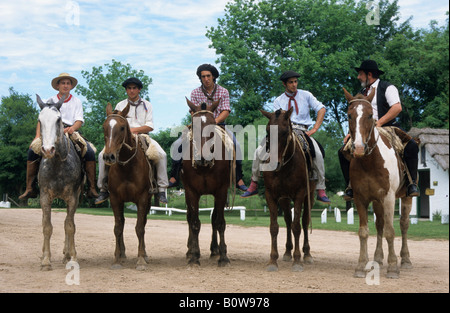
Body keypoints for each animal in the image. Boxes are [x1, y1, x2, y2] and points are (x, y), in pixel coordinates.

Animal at [36, 94, 84, 270]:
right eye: (40, 120)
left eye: (58, 120)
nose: (47, 150)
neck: (57, 164)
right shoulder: (44, 197)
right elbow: (46, 226)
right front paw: (45, 260)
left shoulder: (72, 198)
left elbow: (70, 226)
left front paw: (73, 257)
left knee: (67, 223)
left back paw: (67, 254)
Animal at [102, 102, 155, 270]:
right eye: (104, 127)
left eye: (122, 128)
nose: (109, 156)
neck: (127, 167)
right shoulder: (115, 199)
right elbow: (118, 228)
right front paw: (116, 260)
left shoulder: (143, 199)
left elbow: (140, 228)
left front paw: (141, 259)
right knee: (122, 223)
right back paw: (122, 254)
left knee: (143, 223)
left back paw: (144, 254)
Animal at [181, 97, 234, 266]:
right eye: (194, 125)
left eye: (213, 125)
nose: (203, 157)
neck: (204, 166)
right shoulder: (191, 191)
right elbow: (195, 223)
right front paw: (194, 256)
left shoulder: (221, 191)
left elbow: (219, 222)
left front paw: (223, 256)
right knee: (190, 218)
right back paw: (190, 250)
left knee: (214, 219)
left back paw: (215, 250)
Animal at [260, 107, 316, 270]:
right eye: (268, 131)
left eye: (285, 132)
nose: (274, 163)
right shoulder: (271, 195)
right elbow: (274, 227)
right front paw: (273, 260)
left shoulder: (300, 194)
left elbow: (297, 226)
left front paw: (297, 260)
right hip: (284, 199)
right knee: (287, 221)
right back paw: (287, 252)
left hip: (310, 195)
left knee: (304, 221)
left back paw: (307, 254)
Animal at [342, 88, 414, 278]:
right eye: (349, 115)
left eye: (370, 115)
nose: (358, 148)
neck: (369, 162)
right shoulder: (360, 198)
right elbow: (364, 232)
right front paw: (361, 266)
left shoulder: (388, 198)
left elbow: (390, 231)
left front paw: (393, 267)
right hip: (376, 201)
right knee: (380, 224)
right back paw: (378, 259)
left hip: (406, 197)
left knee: (404, 224)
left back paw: (406, 259)